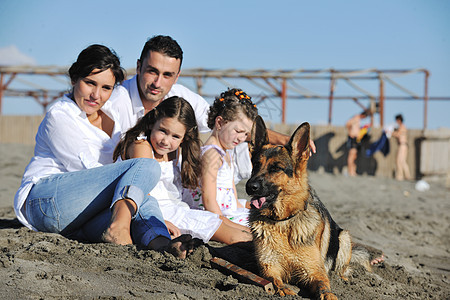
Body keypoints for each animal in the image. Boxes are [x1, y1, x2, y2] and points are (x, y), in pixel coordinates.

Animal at [246, 116, 376, 298]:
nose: (250, 186)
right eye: (256, 165)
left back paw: (343, 278)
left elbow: (324, 285)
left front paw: (329, 295)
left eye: (276, 168)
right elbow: (275, 280)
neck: (283, 221)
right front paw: (284, 289)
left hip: (343, 238)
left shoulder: (314, 271)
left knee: (342, 269)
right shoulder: (269, 267)